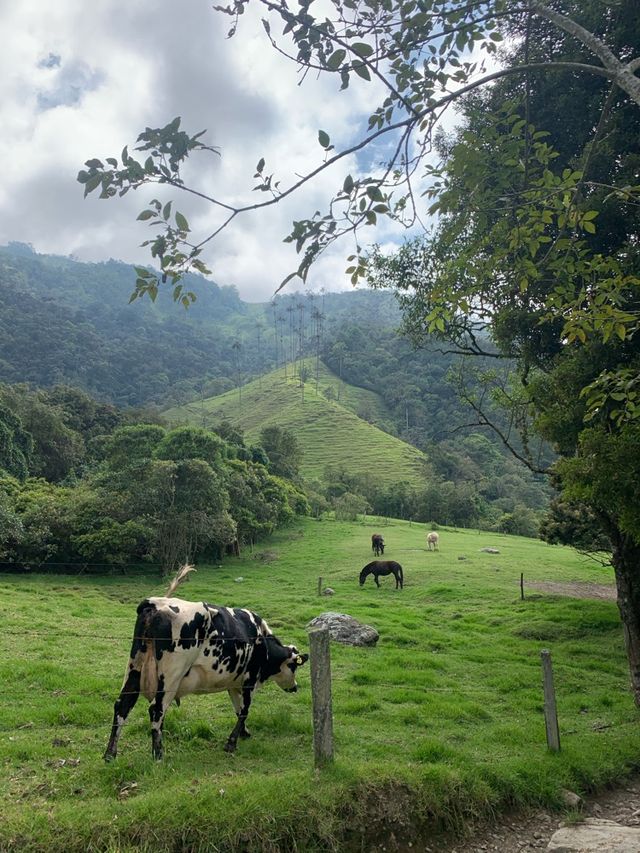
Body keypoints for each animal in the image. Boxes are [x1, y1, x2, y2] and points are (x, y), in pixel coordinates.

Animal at [104, 592, 308, 760]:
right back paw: (158, 755)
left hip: (134, 667)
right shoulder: (250, 679)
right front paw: (231, 743)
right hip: (171, 676)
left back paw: (110, 754)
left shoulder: (234, 683)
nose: (295, 687)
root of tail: (155, 604)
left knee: (123, 705)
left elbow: (237, 708)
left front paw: (243, 733)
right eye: (293, 667)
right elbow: (244, 710)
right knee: (156, 710)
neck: (261, 639)